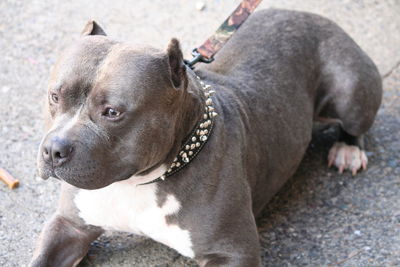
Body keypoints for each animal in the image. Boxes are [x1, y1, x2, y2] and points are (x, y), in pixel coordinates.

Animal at [30, 8, 382, 267]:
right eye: (54, 96)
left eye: (112, 112)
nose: (53, 150)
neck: (137, 184)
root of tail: (308, 14)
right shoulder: (69, 226)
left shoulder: (233, 251)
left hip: (350, 91)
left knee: (355, 124)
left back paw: (348, 149)